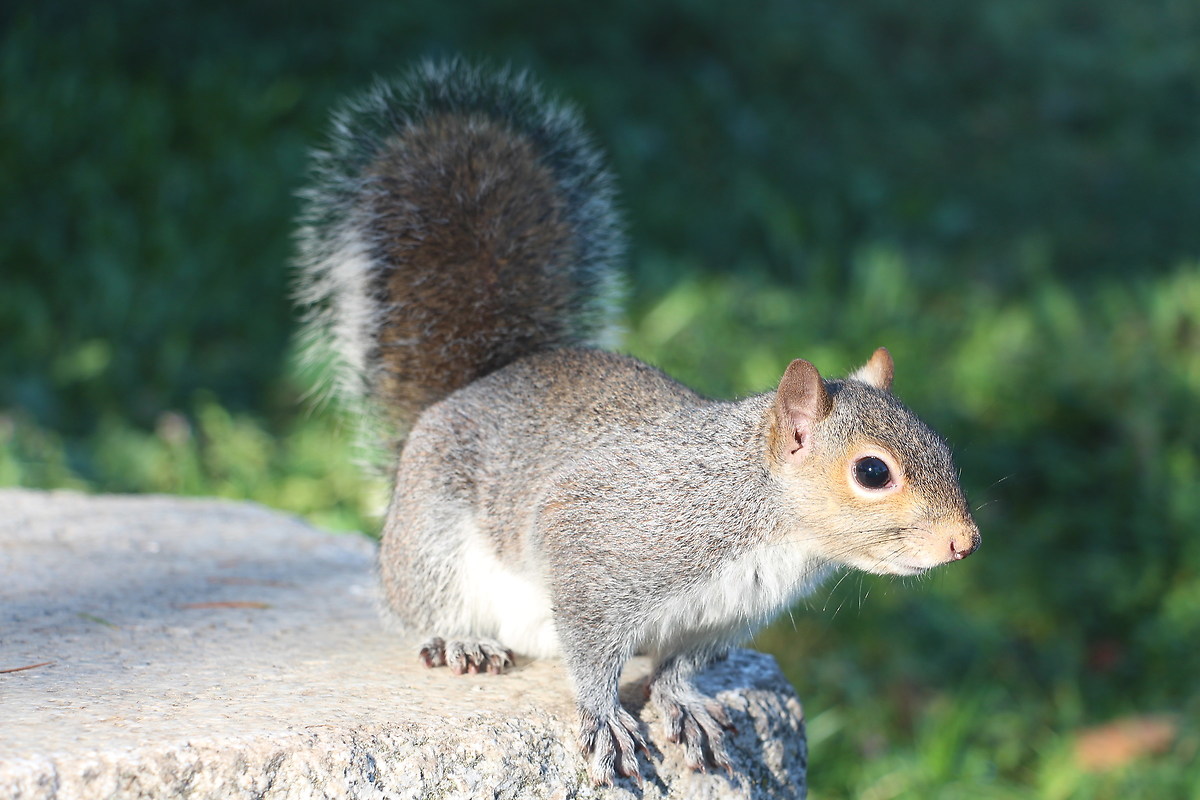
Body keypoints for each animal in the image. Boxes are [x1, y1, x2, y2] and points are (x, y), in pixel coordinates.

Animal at [294, 59, 981, 787]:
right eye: (873, 472)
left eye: (943, 445)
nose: (965, 542)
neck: (766, 521)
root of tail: (464, 393)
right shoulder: (597, 548)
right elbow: (594, 652)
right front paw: (605, 718)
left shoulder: (721, 621)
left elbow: (681, 668)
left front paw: (684, 702)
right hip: (431, 539)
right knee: (420, 601)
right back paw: (458, 638)